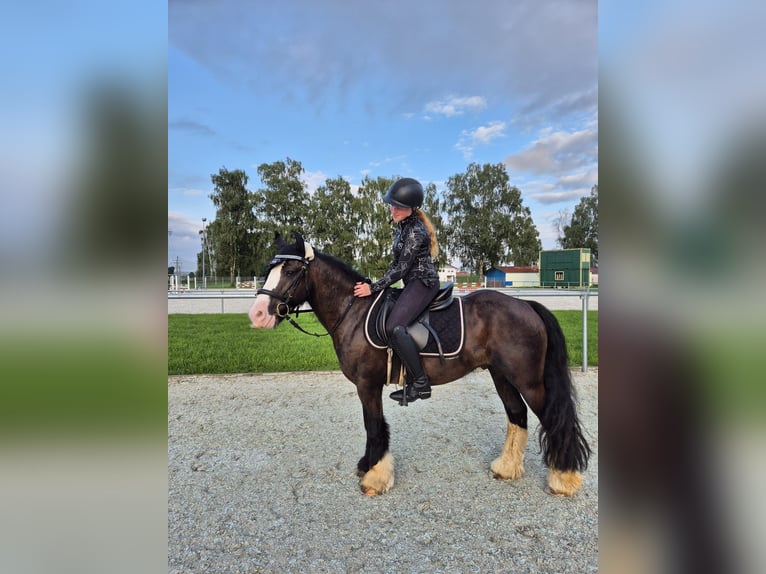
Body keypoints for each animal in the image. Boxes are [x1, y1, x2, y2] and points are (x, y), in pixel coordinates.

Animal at [249, 232, 590, 497]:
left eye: (292, 269)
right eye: (270, 268)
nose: (258, 314)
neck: (354, 311)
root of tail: (527, 305)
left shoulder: (367, 384)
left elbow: (374, 426)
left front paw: (374, 476)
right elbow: (374, 426)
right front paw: (369, 467)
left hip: (528, 381)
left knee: (554, 420)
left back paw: (563, 479)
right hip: (502, 376)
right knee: (517, 416)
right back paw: (506, 469)